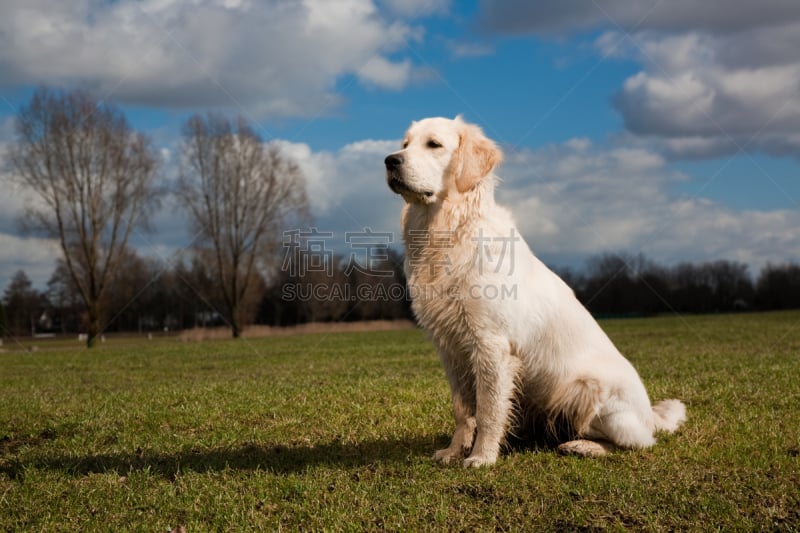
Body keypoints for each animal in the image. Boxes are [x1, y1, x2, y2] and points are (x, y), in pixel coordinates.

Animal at [384, 115, 684, 466]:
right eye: (405, 144)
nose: (390, 161)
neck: (446, 230)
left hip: (585, 388)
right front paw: (454, 451)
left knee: (636, 442)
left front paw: (482, 457)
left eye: (434, 144)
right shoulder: (451, 349)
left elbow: (488, 410)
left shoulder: (491, 345)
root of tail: (651, 416)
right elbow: (463, 410)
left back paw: (584, 446)